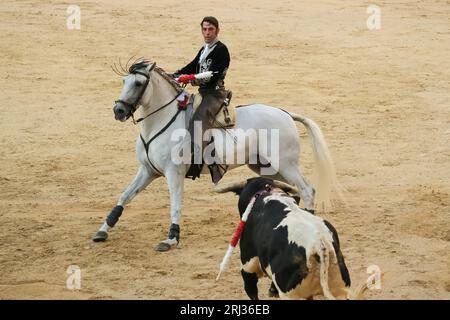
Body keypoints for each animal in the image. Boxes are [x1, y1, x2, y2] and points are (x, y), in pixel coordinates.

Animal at [92, 58, 338, 251]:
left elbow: (175, 204)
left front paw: (171, 239)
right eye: (124, 81)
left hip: (285, 163)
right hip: (266, 167)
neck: (160, 121)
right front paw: (103, 230)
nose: (119, 111)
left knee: (306, 189)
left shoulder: (174, 173)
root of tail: (285, 113)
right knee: (293, 189)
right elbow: (125, 196)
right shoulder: (147, 170)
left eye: (138, 83)